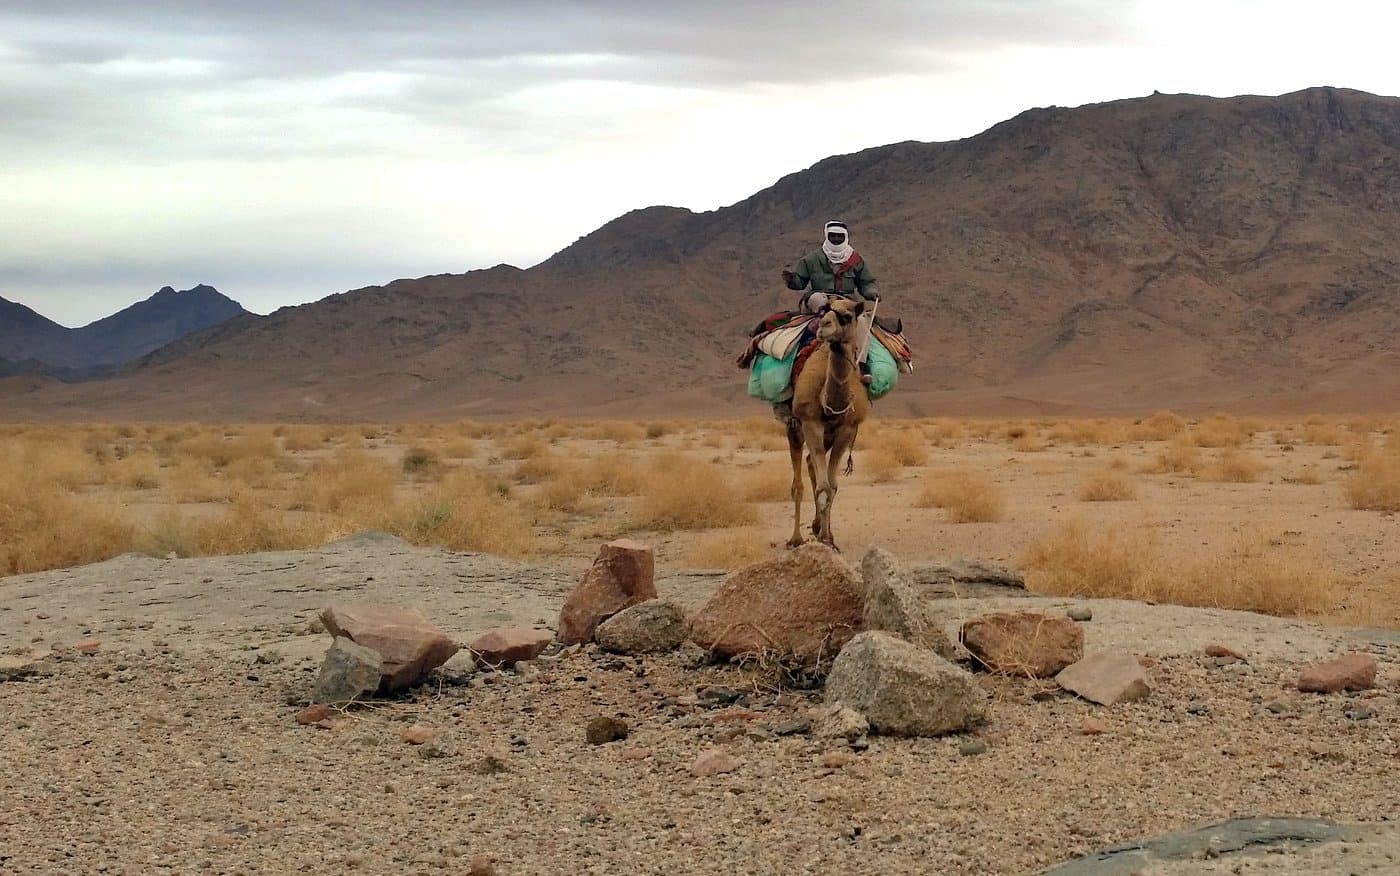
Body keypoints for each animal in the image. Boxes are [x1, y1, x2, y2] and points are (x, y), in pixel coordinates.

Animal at [784, 297, 870, 550]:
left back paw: (816, 526)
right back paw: (796, 538)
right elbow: (822, 488)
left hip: (828, 437)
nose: (824, 326)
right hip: (795, 427)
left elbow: (832, 486)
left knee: (811, 463)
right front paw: (822, 539)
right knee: (798, 483)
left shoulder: (846, 429)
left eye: (847, 316)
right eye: (825, 311)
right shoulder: (810, 422)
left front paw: (829, 538)